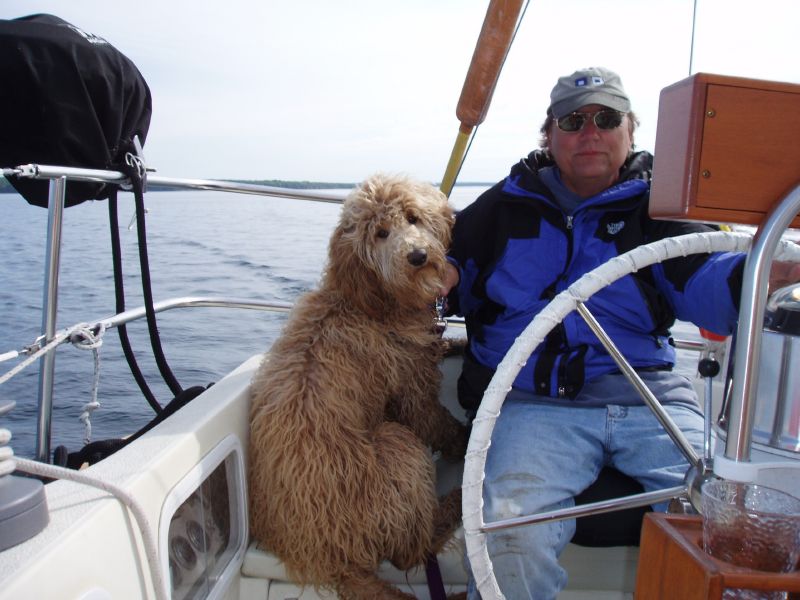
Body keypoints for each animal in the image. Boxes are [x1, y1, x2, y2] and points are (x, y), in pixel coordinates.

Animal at [247, 171, 466, 596]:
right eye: (380, 233)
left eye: (413, 217)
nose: (417, 256)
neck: (369, 303)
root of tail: (339, 562)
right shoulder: (413, 390)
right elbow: (439, 424)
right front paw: (467, 441)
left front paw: (456, 342)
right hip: (396, 447)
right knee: (411, 552)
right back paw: (456, 504)